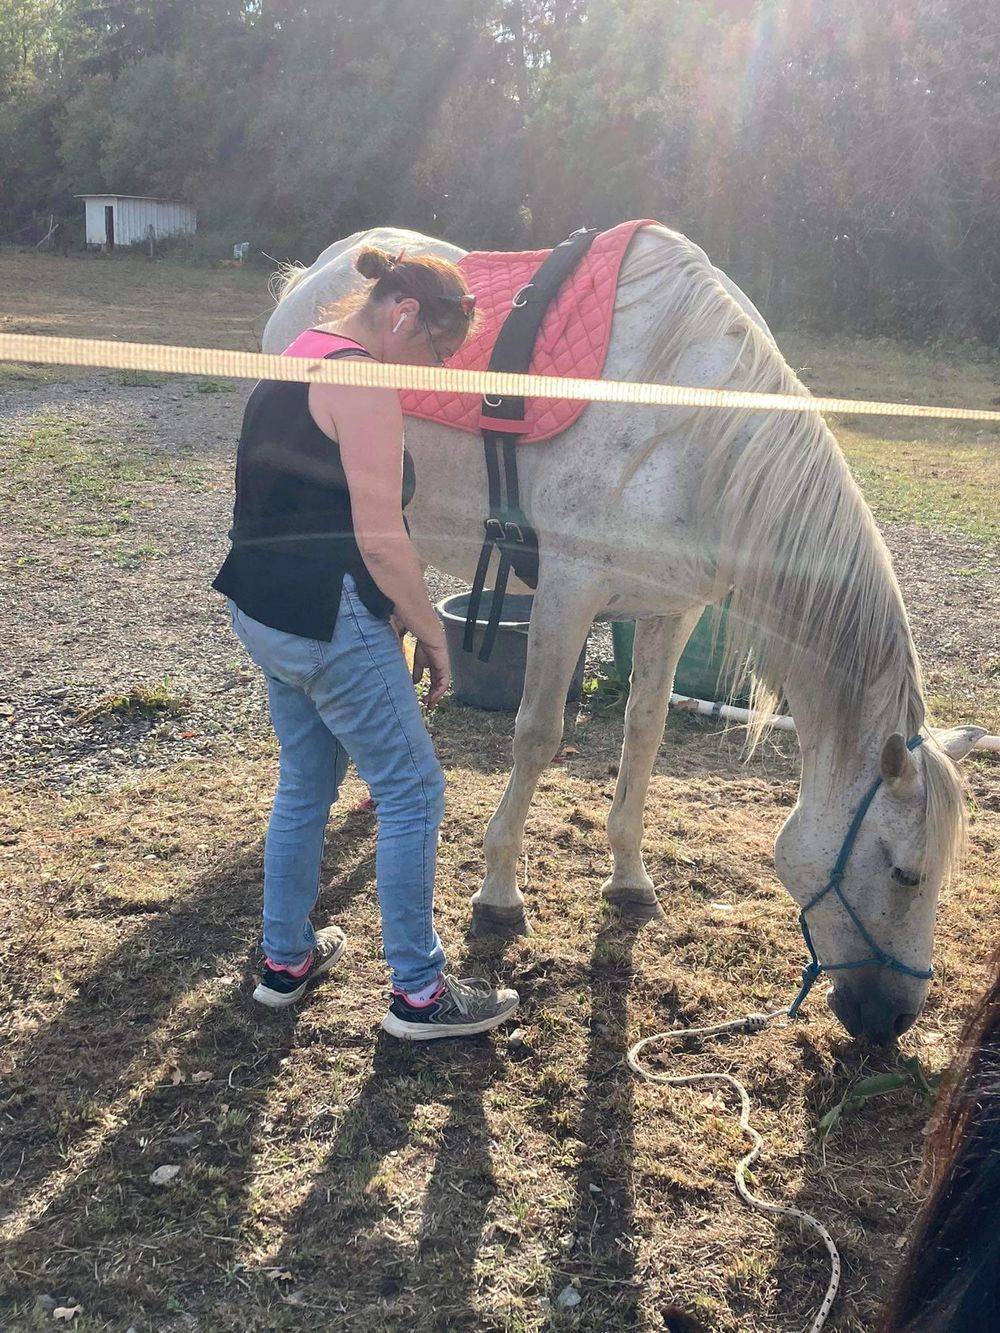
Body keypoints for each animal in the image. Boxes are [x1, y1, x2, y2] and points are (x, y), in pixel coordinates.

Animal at [263, 222, 983, 1043]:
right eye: (903, 870)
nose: (892, 1020)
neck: (693, 434)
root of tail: (314, 274)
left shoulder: (669, 611)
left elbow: (645, 733)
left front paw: (630, 880)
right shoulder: (567, 594)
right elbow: (538, 736)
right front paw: (499, 893)